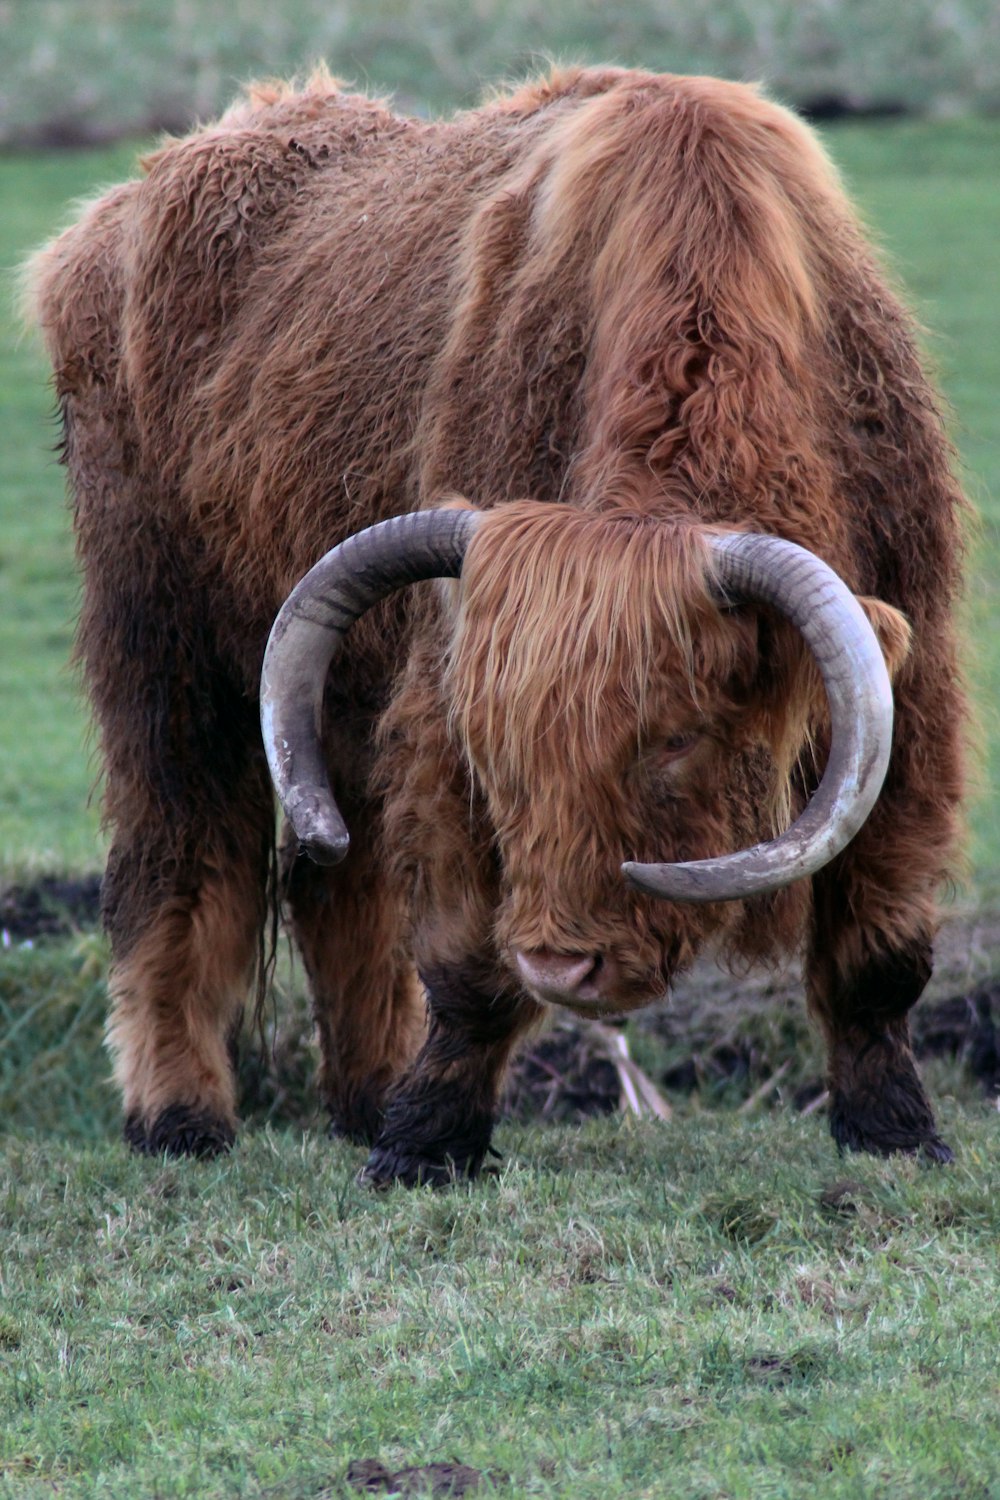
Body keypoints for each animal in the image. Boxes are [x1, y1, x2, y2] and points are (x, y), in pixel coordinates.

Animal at [29, 64, 971, 1182]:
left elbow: (880, 949)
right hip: (162, 641)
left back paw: (363, 1098)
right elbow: (466, 964)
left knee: (338, 878)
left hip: (326, 696)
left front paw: (895, 1132)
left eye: (679, 738)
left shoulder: (910, 686)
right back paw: (180, 1115)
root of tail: (114, 215)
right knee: (178, 851)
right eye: (496, 751)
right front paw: (426, 1144)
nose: (563, 962)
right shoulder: (439, 705)